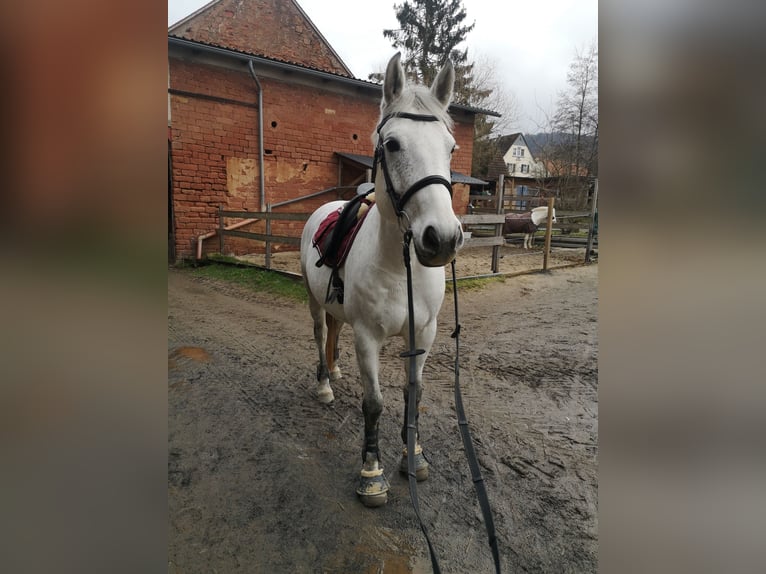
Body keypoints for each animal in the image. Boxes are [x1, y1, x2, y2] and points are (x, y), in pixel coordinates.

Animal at [304, 54, 464, 508]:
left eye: (450, 148)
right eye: (392, 145)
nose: (442, 238)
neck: (397, 266)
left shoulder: (423, 334)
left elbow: (415, 396)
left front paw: (414, 458)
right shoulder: (367, 339)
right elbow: (374, 403)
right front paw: (371, 473)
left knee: (332, 333)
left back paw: (335, 370)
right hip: (313, 302)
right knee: (320, 333)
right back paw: (325, 384)